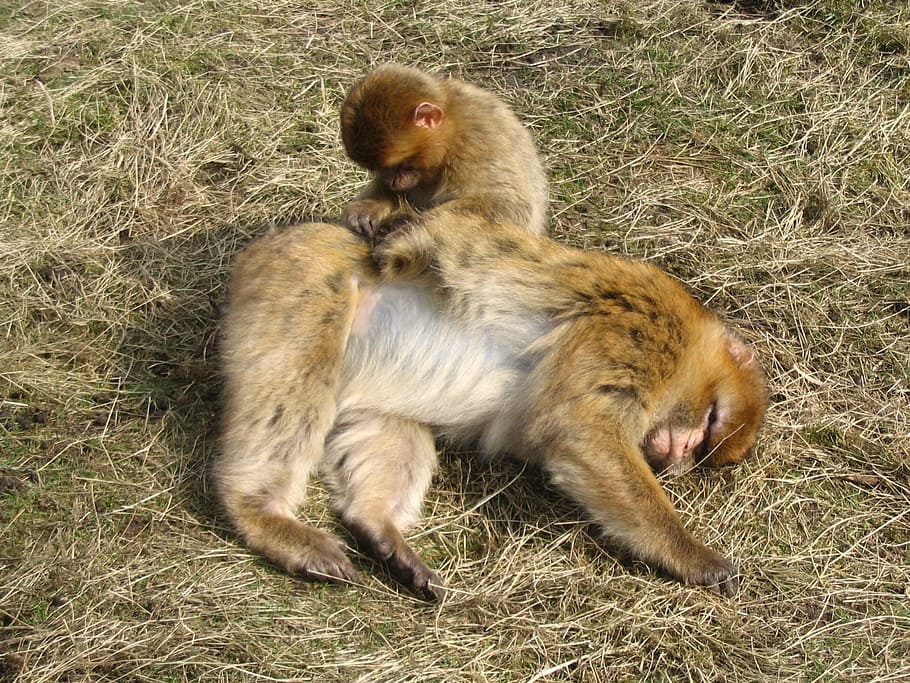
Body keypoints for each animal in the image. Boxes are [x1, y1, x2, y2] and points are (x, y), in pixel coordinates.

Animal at [214, 212, 768, 600]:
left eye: (701, 451)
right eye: (711, 422)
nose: (678, 456)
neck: (687, 349)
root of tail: (262, 247)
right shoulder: (638, 332)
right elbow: (579, 429)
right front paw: (693, 556)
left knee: (388, 429)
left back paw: (379, 527)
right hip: (303, 290)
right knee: (291, 391)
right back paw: (260, 513)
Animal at [339, 63, 548, 238]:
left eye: (401, 166)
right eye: (381, 169)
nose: (392, 181)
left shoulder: (474, 147)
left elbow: (510, 207)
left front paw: (408, 225)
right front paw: (368, 208)